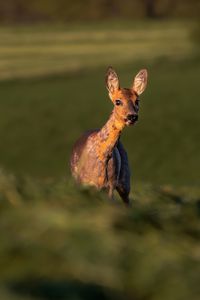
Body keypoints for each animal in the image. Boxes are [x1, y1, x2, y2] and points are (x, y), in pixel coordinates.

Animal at [70, 67, 147, 205]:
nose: (132, 116)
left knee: (127, 201)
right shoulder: (84, 183)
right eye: (118, 101)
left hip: (125, 179)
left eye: (137, 101)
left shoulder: (110, 184)